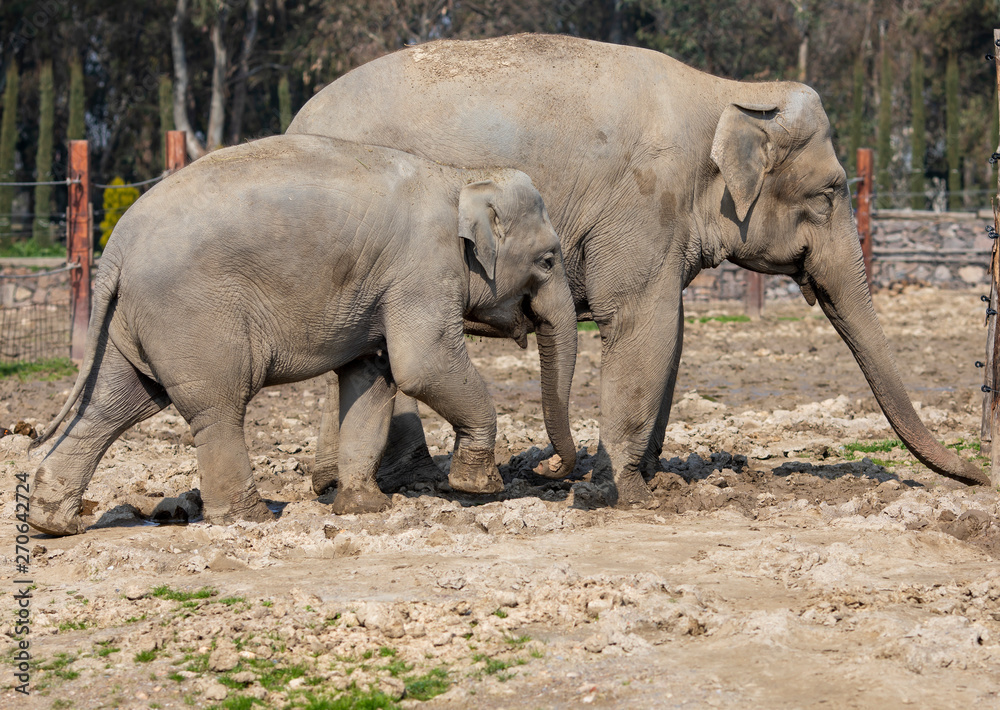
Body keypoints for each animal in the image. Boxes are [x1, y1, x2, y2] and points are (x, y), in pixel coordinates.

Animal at [26, 134, 578, 536]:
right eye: (548, 260)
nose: (549, 471)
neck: (461, 175)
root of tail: (116, 247)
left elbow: (373, 378)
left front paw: (365, 509)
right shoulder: (421, 268)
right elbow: (424, 365)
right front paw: (478, 488)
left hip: (130, 322)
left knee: (116, 403)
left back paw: (52, 523)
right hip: (191, 316)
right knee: (216, 407)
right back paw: (249, 519)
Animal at [288, 33, 988, 505]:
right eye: (830, 193)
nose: (982, 476)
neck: (730, 92)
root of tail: (298, 116)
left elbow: (670, 332)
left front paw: (652, 478)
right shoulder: (644, 202)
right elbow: (642, 322)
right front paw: (628, 492)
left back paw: (345, 482)